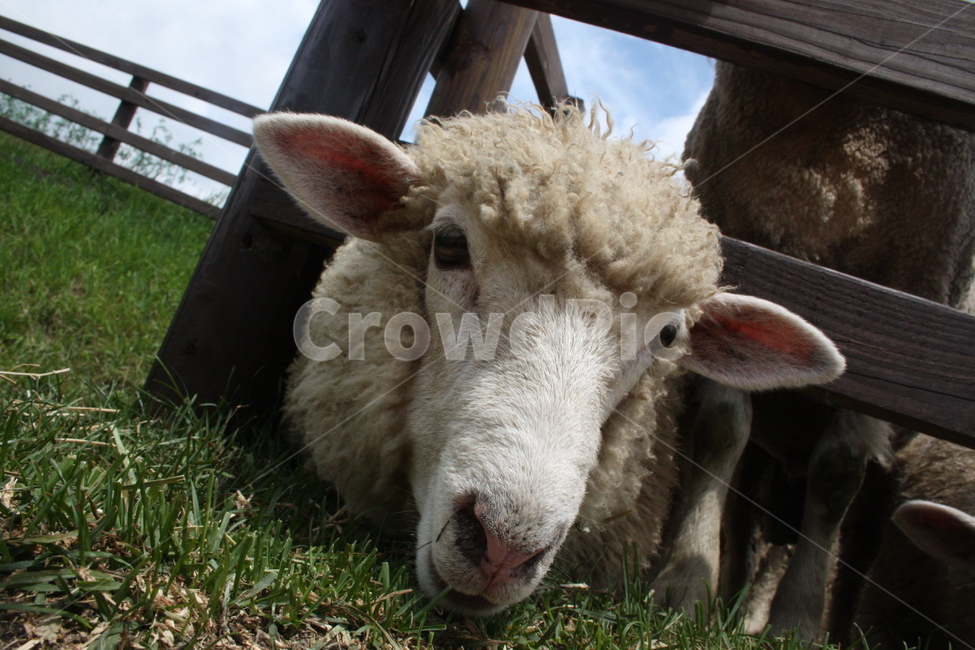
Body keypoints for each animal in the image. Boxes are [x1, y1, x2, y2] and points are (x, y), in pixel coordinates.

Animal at [678, 60, 975, 639]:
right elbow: (722, 426)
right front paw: (684, 588)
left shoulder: (906, 299)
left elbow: (838, 470)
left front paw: (795, 621)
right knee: (746, 520)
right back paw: (729, 604)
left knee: (856, 552)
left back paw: (828, 628)